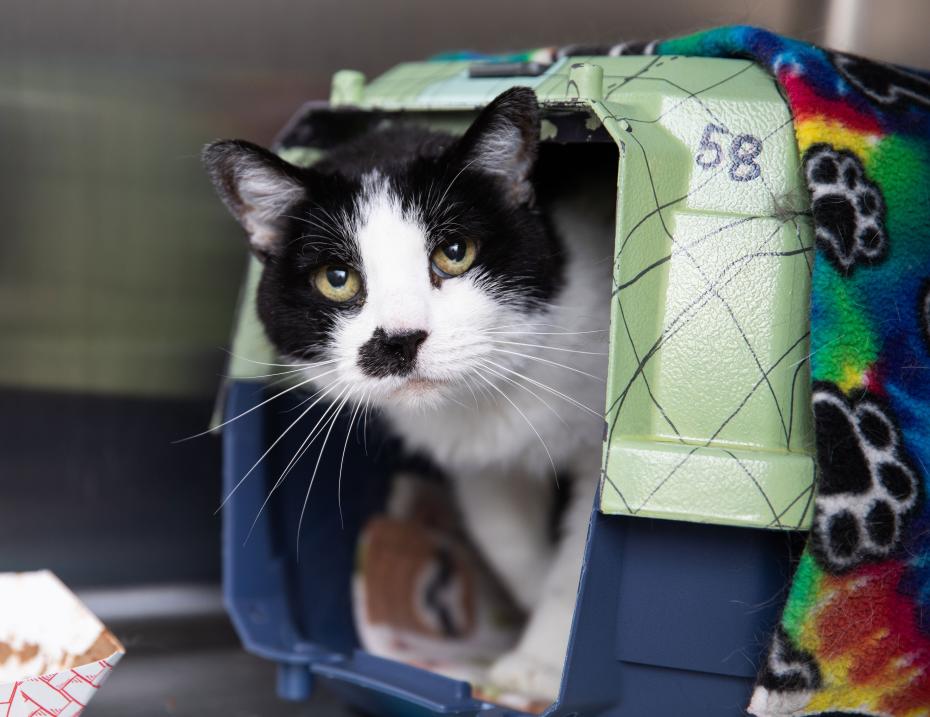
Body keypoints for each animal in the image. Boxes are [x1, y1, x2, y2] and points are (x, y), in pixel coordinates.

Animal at [203, 86, 608, 696]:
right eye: (336, 279)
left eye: (455, 252)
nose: (399, 340)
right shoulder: (479, 462)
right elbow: (505, 535)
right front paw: (531, 625)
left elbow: (581, 557)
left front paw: (542, 664)